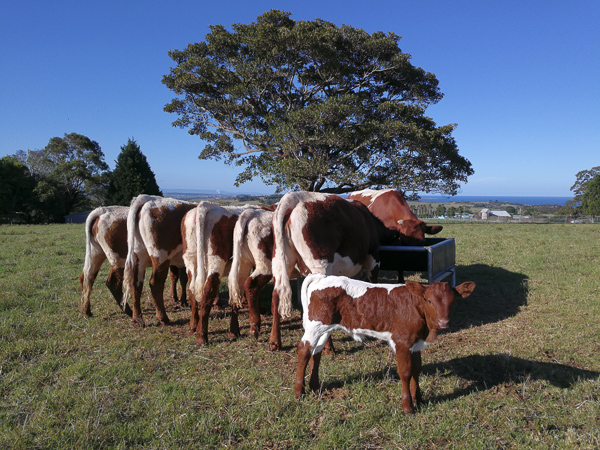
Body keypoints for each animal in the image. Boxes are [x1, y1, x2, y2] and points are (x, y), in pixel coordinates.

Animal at [124, 195, 197, 326]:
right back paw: (163, 318)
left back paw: (137, 319)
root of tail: (147, 198)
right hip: (161, 256)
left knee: (136, 283)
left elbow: (183, 279)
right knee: (155, 283)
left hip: (139, 254)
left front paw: (182, 300)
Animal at [180, 200, 260, 344]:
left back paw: (193, 327)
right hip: (216, 260)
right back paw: (202, 335)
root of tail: (205, 206)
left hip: (190, 259)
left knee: (192, 290)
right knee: (208, 291)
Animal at [292, 272, 476, 414]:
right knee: (304, 350)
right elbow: (406, 372)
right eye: (429, 300)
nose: (443, 323)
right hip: (315, 325)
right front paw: (407, 406)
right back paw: (299, 392)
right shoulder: (402, 341)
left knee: (316, 352)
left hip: (324, 328)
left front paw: (419, 399)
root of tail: (323, 277)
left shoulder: (416, 343)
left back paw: (315, 387)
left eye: (453, 301)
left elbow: (417, 369)